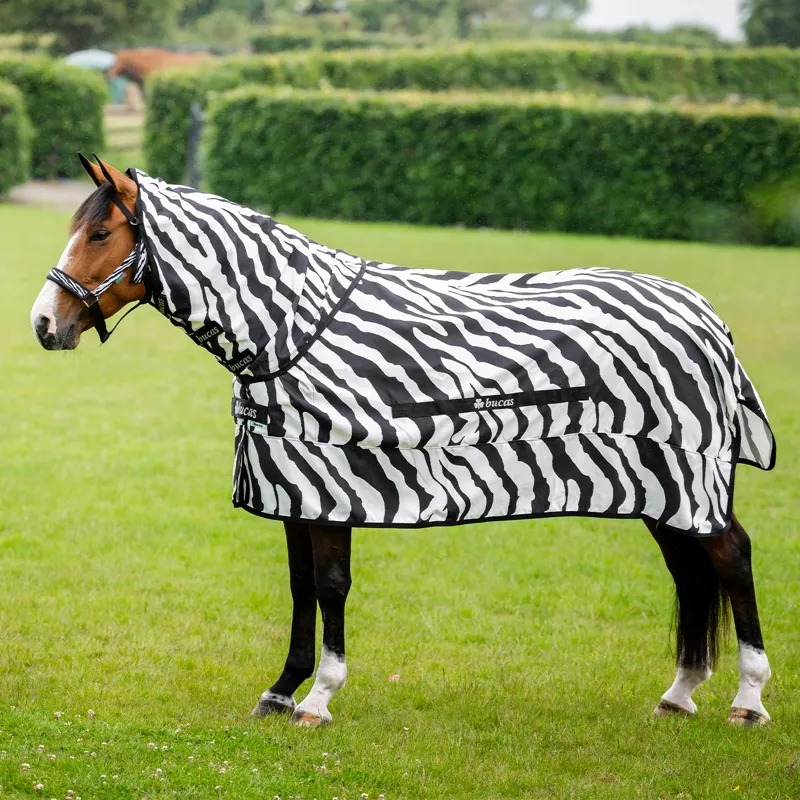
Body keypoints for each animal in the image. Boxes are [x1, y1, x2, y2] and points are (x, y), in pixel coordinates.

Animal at [31, 156, 776, 727]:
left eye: (100, 232)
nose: (43, 323)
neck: (291, 330)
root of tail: (705, 316)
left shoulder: (330, 482)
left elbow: (330, 587)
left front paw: (319, 699)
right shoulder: (292, 487)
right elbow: (301, 588)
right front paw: (281, 689)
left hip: (689, 478)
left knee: (732, 557)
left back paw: (748, 698)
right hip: (662, 489)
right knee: (691, 573)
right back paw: (679, 693)